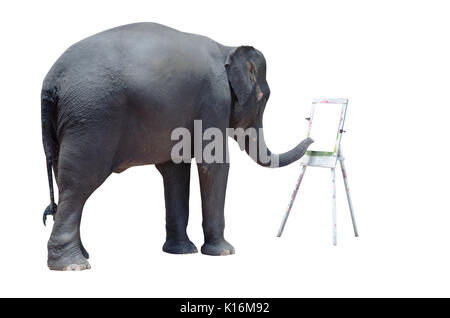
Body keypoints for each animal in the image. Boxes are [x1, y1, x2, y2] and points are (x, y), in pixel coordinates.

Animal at [41, 23, 312, 270]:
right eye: (263, 98)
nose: (311, 136)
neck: (226, 47)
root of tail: (51, 82)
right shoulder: (215, 100)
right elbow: (213, 164)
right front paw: (224, 252)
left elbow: (176, 170)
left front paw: (181, 252)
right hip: (92, 120)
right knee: (78, 183)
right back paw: (73, 265)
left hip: (65, 125)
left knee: (63, 179)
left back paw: (82, 255)